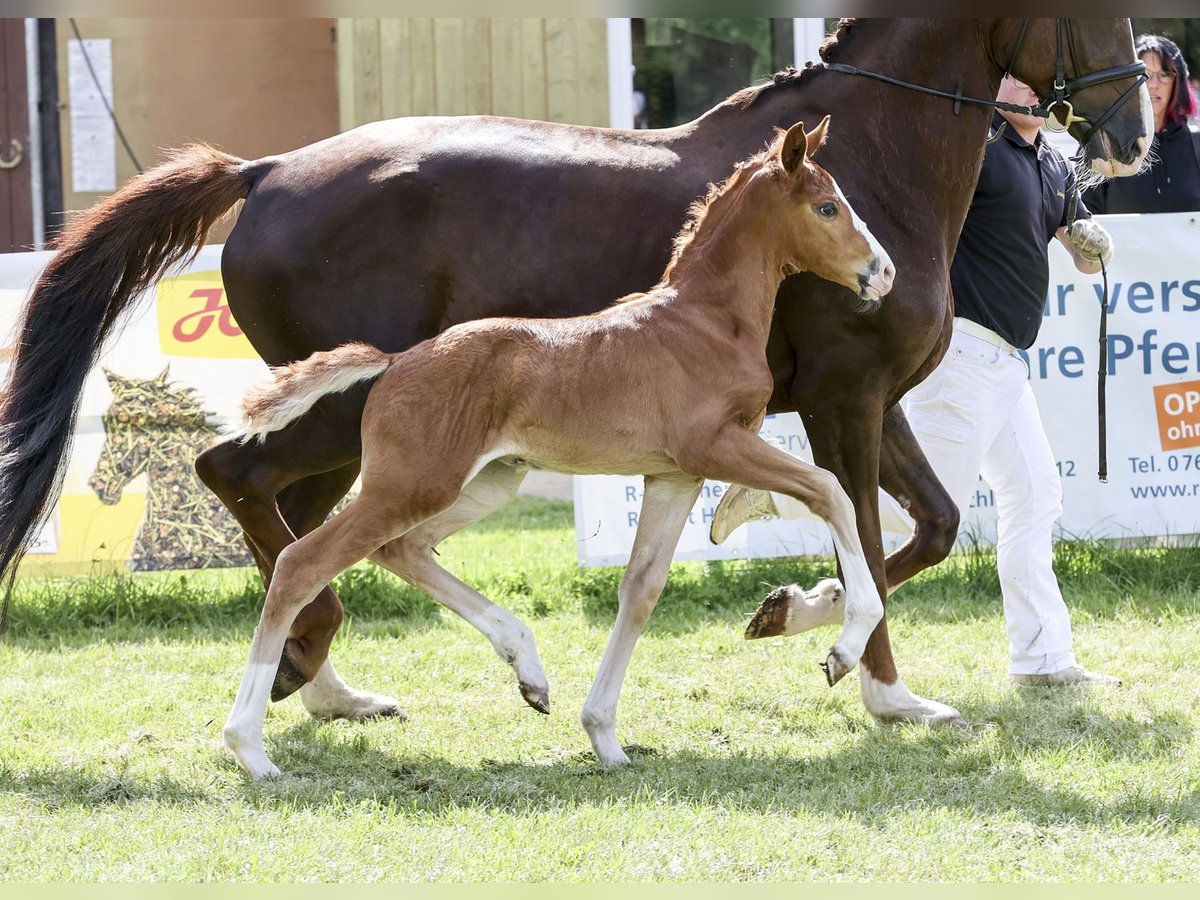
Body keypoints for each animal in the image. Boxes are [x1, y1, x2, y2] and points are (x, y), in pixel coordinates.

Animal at [223, 120, 892, 777]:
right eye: (828, 207)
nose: (883, 272)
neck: (705, 322)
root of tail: (394, 362)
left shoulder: (673, 475)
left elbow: (641, 590)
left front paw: (605, 738)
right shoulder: (716, 447)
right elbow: (830, 491)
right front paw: (841, 648)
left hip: (487, 483)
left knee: (400, 549)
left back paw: (530, 673)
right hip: (413, 485)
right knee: (302, 564)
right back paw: (249, 747)